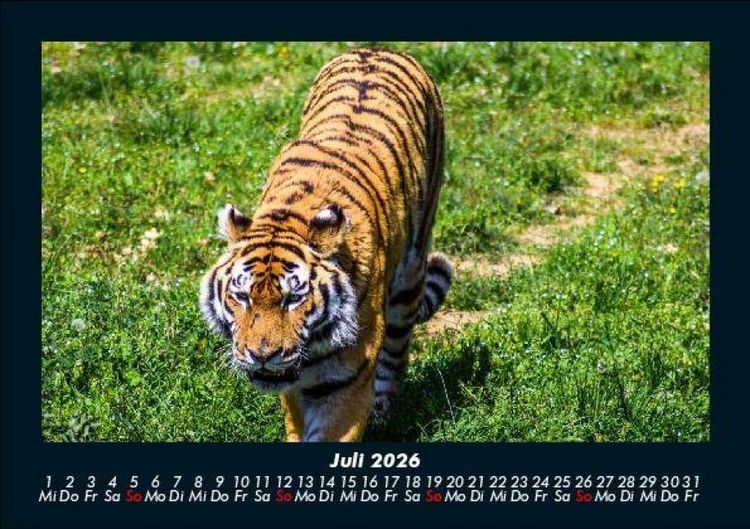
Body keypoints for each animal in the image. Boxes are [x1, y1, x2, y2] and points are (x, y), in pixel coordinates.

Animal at [199, 47, 452, 441]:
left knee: (395, 354)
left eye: (294, 298)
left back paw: (382, 414)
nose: (262, 355)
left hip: (410, 275)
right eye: (241, 296)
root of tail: (377, 49)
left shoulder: (346, 379)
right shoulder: (293, 386)